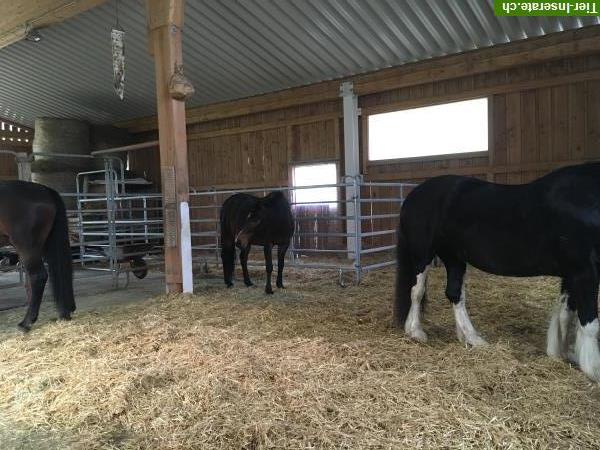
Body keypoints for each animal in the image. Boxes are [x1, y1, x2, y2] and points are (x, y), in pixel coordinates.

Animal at [396, 163, 600, 382]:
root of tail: (413, 195)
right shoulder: (584, 272)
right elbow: (589, 323)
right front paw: (594, 370)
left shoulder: (572, 274)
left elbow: (565, 314)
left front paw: (561, 353)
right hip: (423, 256)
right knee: (417, 292)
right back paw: (416, 332)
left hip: (454, 258)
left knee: (455, 294)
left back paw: (471, 338)